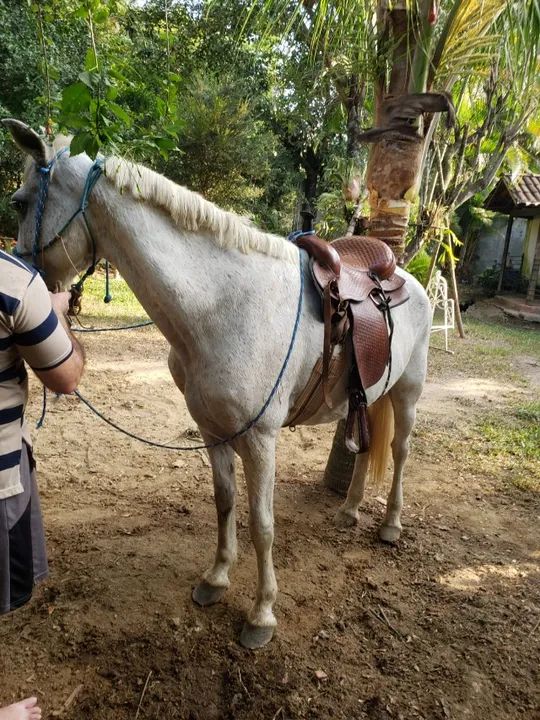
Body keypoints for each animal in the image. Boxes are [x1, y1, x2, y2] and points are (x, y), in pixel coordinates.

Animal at [3, 119, 431, 649]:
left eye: (19, 202)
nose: (23, 279)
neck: (222, 305)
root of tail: (405, 276)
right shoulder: (212, 430)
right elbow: (225, 503)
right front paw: (216, 579)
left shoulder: (261, 438)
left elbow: (263, 524)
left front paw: (262, 614)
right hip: (369, 395)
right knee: (363, 447)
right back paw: (350, 511)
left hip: (407, 394)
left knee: (400, 451)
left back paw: (390, 524)